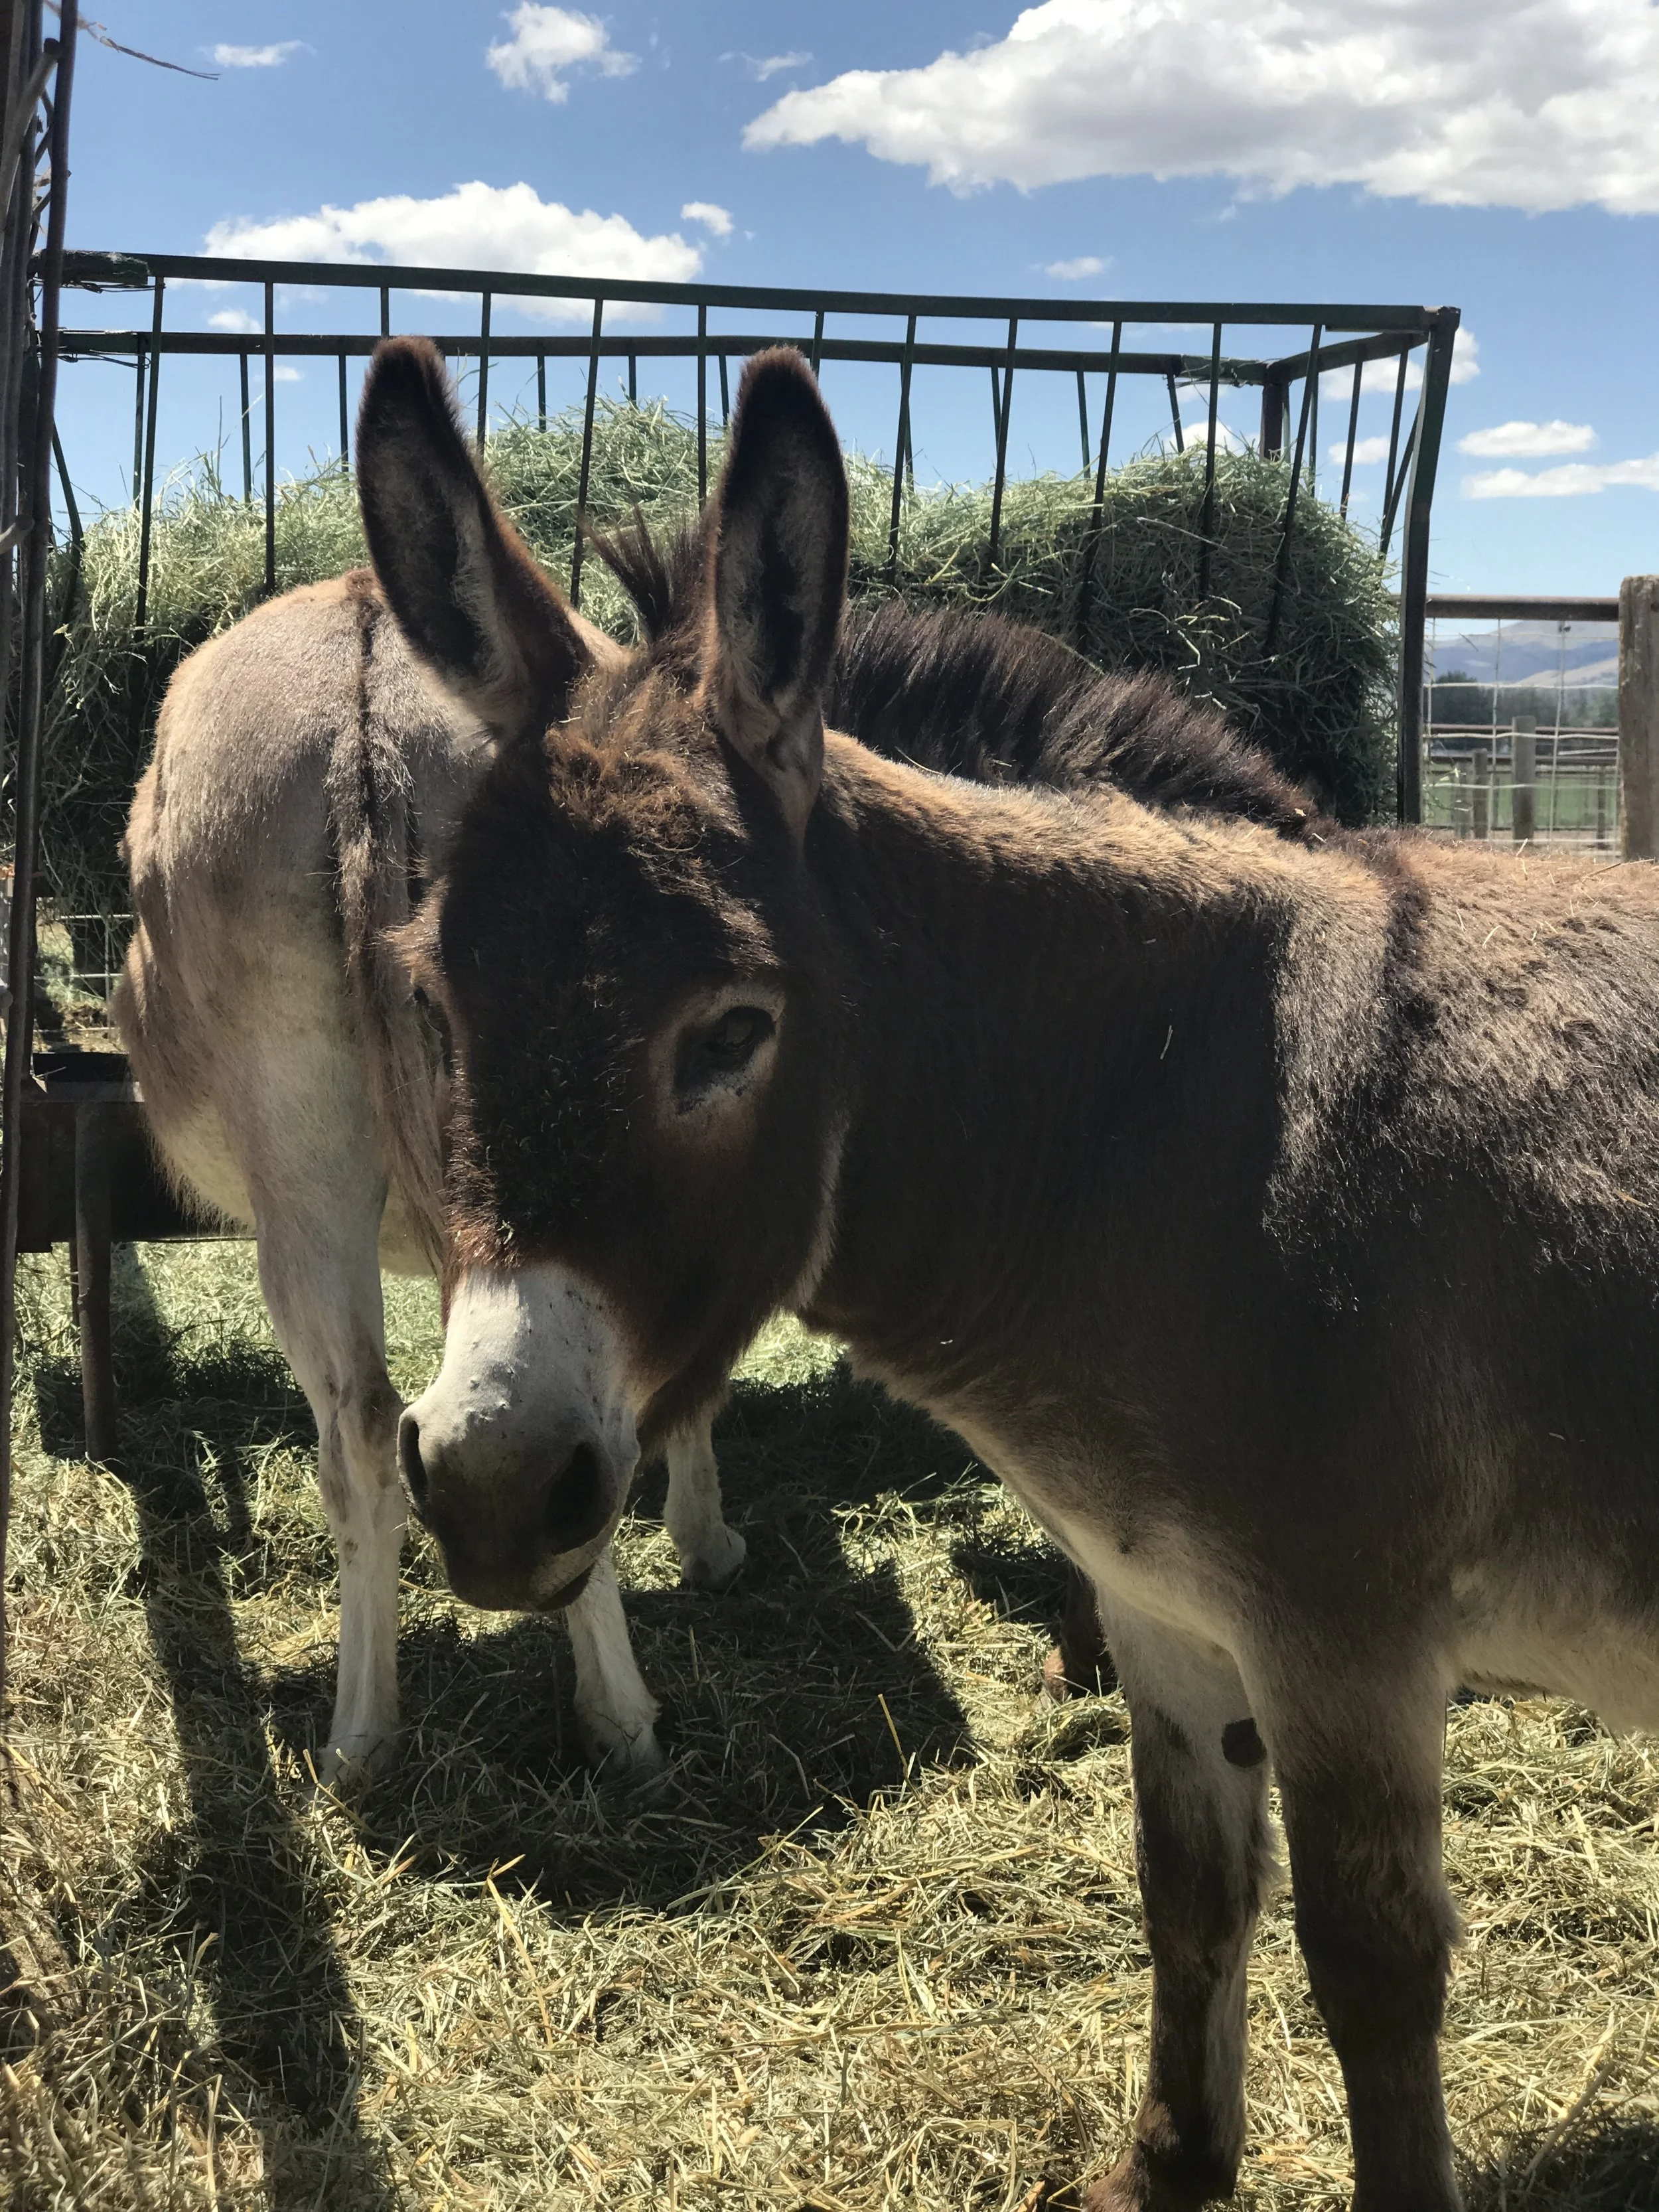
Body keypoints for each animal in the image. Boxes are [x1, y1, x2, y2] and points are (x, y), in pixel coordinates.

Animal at [358, 333, 1659, 2212]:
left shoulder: (1349, 1641)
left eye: (730, 1033)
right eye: (437, 1005)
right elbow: (1190, 1895)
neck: (1172, 1125)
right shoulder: (1162, 1607)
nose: (485, 1485)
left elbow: (1374, 1974)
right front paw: (1164, 2171)